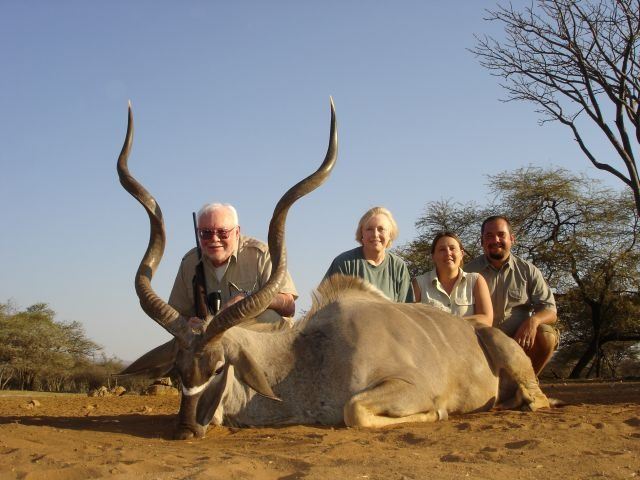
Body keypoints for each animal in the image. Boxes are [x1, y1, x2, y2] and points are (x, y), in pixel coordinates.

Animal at [116, 99, 549, 439]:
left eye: (219, 366)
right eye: (178, 369)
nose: (186, 428)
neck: (308, 357)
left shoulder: (406, 387)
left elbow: (354, 411)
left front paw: (440, 411)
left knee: (538, 401)